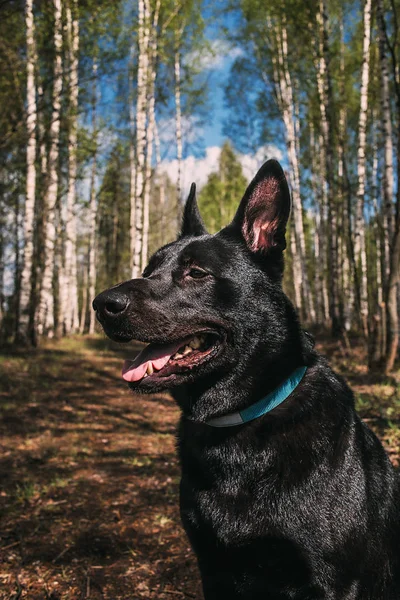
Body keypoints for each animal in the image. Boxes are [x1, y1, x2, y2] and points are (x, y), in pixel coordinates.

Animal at [93, 161, 400, 600]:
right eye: (150, 270)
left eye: (196, 272)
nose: (102, 304)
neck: (240, 420)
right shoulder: (214, 569)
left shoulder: (337, 583)